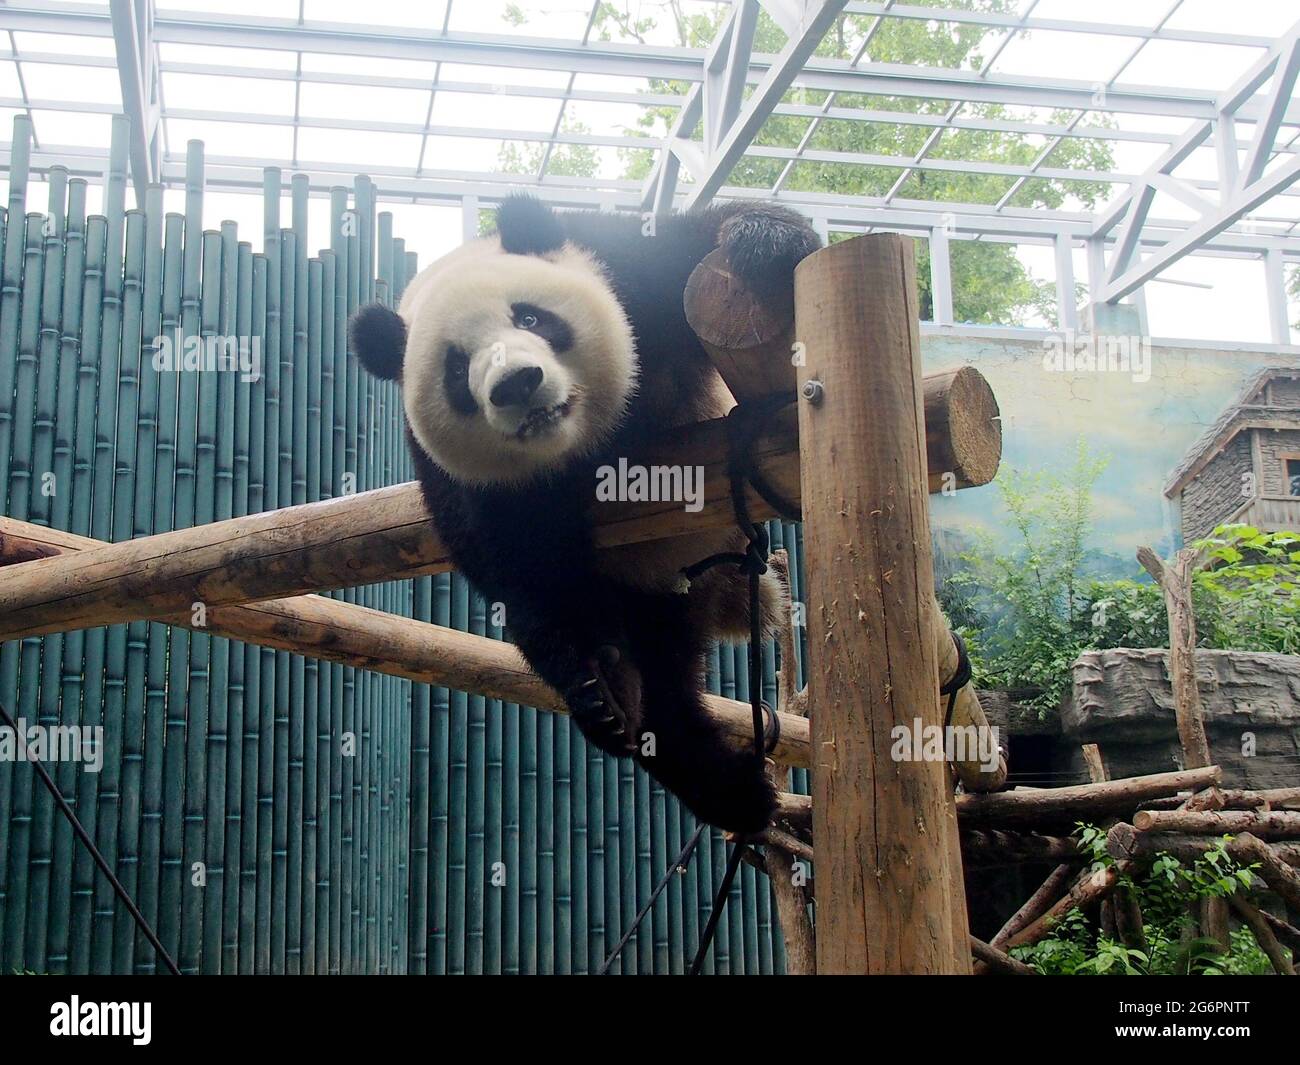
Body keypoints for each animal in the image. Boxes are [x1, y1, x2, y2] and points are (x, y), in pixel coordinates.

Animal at [349, 195, 819, 833]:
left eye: (530, 319)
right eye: (456, 367)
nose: (517, 383)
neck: (588, 442)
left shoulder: (631, 279)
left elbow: (685, 250)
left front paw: (763, 241)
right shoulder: (466, 486)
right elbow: (527, 583)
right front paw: (602, 685)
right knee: (666, 695)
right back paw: (726, 785)